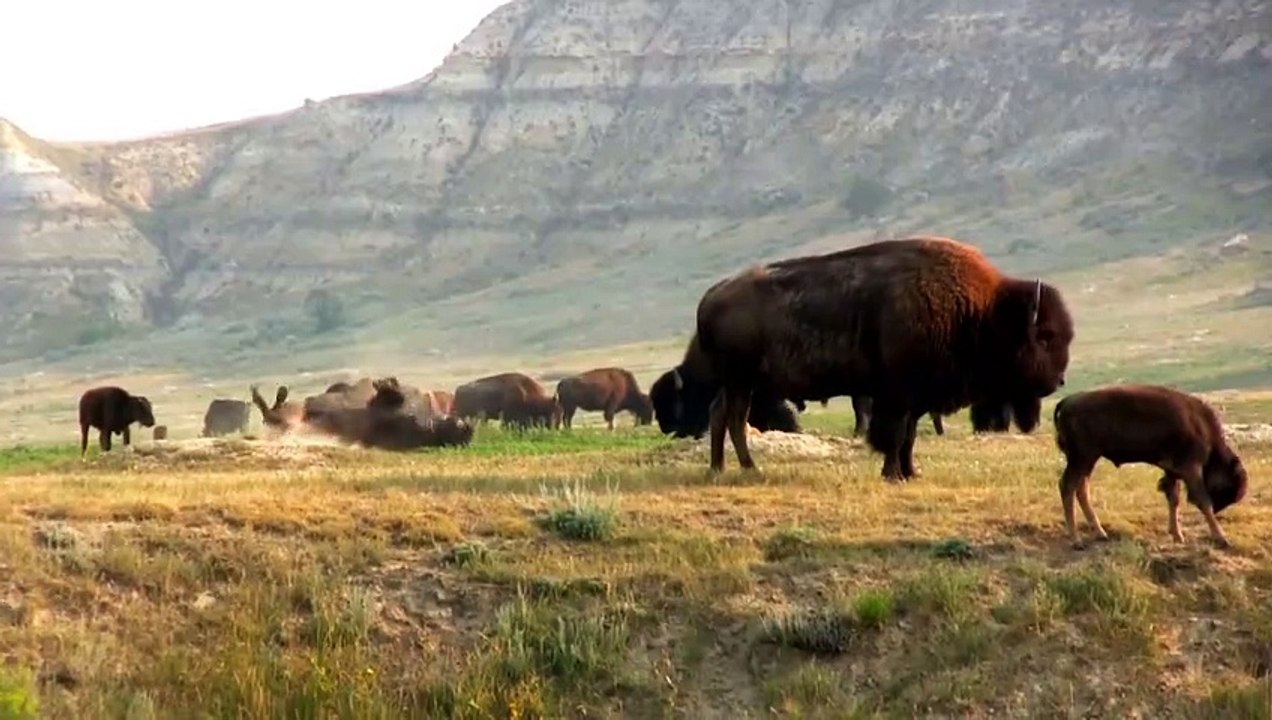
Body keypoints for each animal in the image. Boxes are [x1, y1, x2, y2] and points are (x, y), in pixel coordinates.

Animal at [685, 235, 1074, 480]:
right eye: (1045, 336)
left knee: (719, 415)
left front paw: (910, 472)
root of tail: (711, 295)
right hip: (740, 381)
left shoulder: (916, 398)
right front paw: (892, 473)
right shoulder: (898, 396)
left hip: (738, 384)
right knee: (735, 419)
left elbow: (908, 437)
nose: (1058, 381)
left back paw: (719, 468)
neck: (982, 312)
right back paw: (749, 467)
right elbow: (895, 434)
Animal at [1053, 384, 1249, 549]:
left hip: (1087, 461)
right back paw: (1076, 540)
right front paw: (1221, 538)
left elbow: (1173, 498)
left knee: (1081, 488)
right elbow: (1203, 501)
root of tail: (1068, 401)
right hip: (1082, 459)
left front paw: (1177, 535)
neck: (1201, 426)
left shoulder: (1172, 471)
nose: (1219, 508)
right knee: (1067, 486)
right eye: (1231, 488)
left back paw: (1100, 533)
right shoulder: (1190, 469)